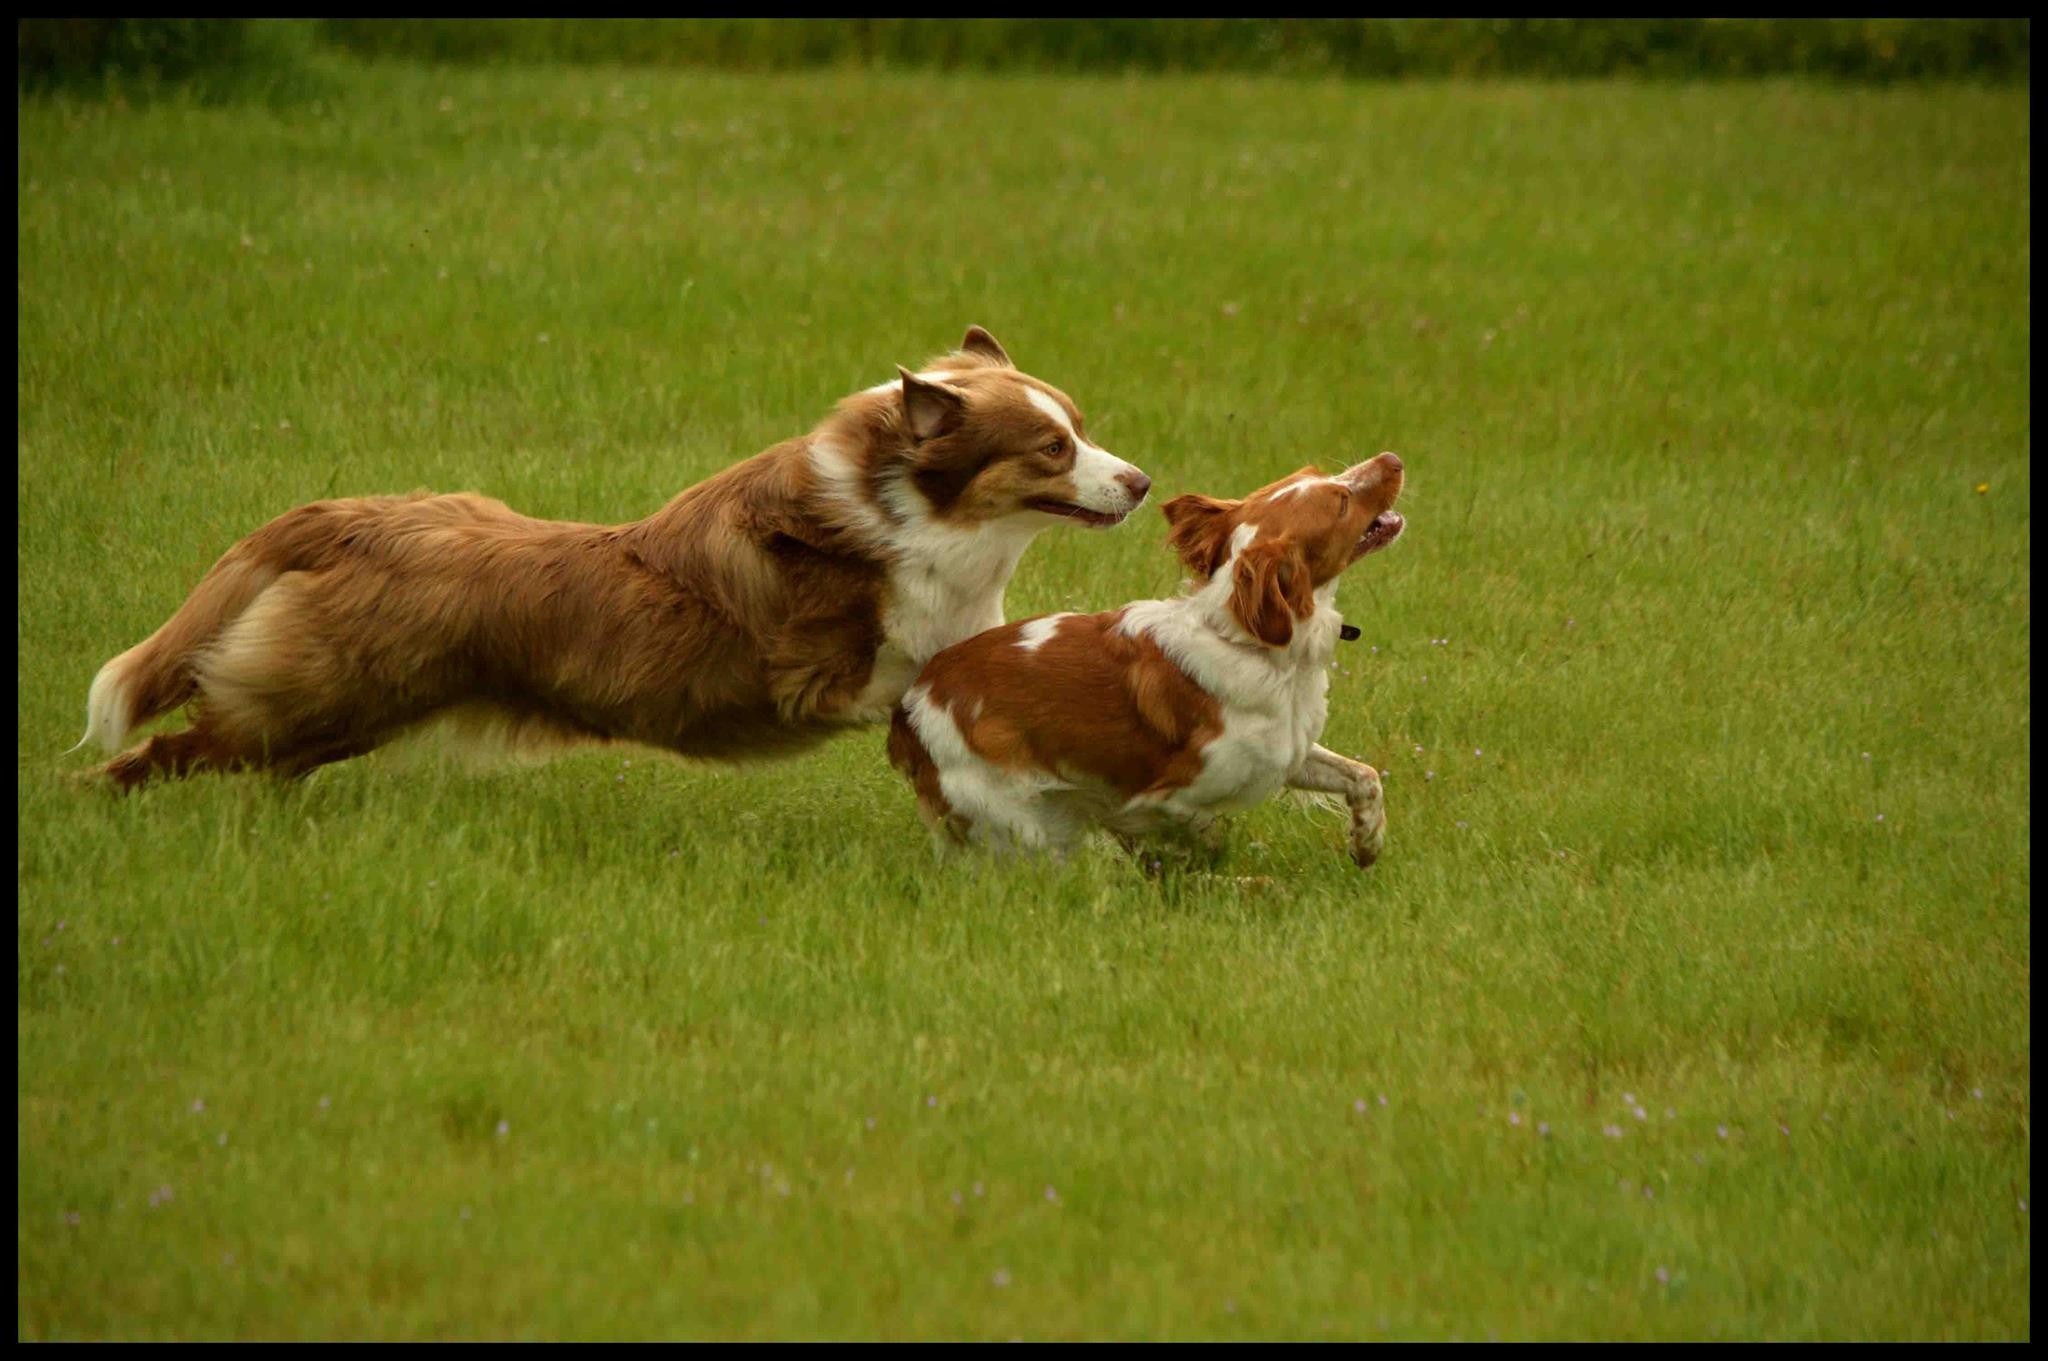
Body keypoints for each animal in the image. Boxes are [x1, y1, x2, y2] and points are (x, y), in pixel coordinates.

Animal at [79, 325, 1155, 785]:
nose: (1143, 481)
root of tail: (349, 515)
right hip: (311, 699)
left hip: (334, 716)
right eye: (1049, 449)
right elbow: (923, 657)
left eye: (1082, 428)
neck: (907, 516)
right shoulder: (817, 668)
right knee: (163, 749)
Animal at [892, 454, 1409, 859]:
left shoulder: (1287, 752)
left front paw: (1367, 841)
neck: (1258, 647)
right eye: (1341, 503)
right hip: (1026, 821)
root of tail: (911, 705)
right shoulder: (1163, 802)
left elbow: (1364, 776)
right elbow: (1204, 846)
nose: (1393, 459)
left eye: (1318, 472)